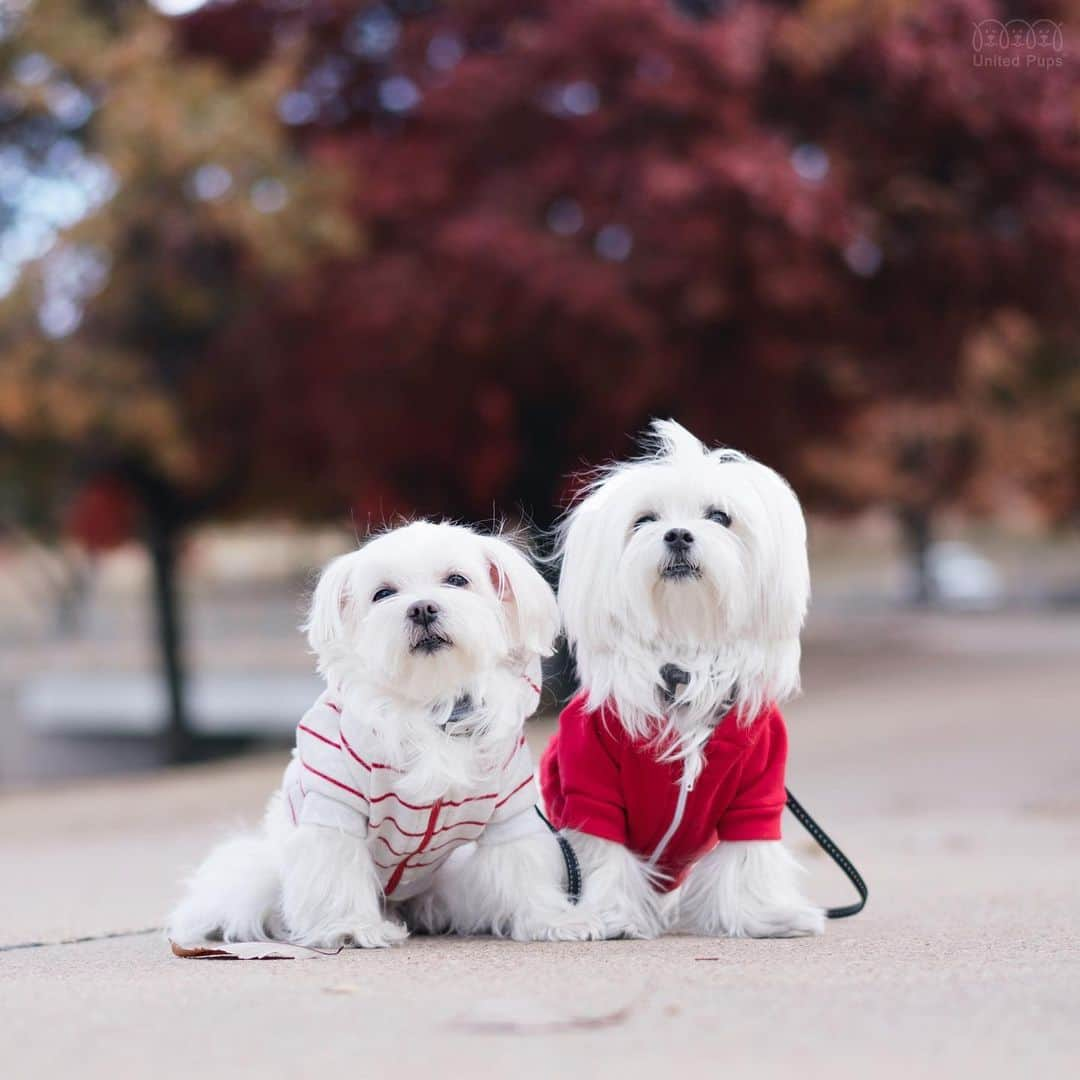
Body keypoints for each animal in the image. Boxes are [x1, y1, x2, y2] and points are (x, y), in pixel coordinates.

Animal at [169, 518, 596, 950]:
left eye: (457, 580)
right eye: (384, 593)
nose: (422, 608)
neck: (432, 705)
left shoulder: (511, 808)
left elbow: (524, 864)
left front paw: (553, 920)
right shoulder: (334, 801)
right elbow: (335, 868)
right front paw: (351, 927)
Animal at [540, 416, 825, 941]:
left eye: (719, 517)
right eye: (644, 520)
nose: (676, 535)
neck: (684, 657)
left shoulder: (758, 793)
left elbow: (745, 857)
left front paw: (763, 917)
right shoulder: (591, 786)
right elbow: (602, 854)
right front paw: (609, 916)